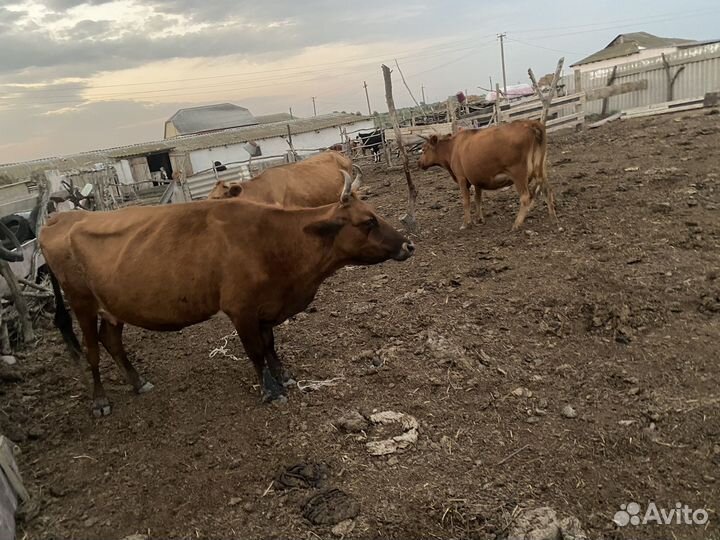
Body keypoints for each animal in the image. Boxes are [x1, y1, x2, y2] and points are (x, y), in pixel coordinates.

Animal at [40, 172, 414, 417]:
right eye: (367, 222)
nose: (408, 245)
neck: (276, 241)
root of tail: (58, 220)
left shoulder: (266, 307)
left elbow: (270, 345)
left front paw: (284, 376)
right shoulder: (241, 310)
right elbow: (255, 351)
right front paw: (270, 390)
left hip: (111, 307)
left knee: (111, 341)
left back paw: (138, 382)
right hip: (81, 303)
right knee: (91, 351)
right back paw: (100, 401)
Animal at [418, 120, 556, 230]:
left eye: (424, 149)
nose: (419, 163)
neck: (453, 148)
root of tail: (529, 123)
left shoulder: (462, 179)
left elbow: (466, 201)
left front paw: (466, 223)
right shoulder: (477, 180)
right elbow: (477, 199)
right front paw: (479, 219)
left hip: (519, 174)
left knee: (526, 197)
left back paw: (516, 224)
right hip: (540, 169)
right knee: (547, 189)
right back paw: (552, 216)